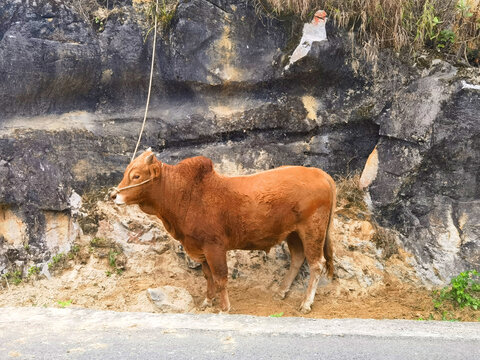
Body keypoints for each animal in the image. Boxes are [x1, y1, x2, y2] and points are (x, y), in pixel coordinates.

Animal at [110, 149, 336, 312]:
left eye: (136, 175)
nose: (113, 195)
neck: (186, 195)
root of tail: (320, 174)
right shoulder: (200, 248)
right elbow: (208, 276)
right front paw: (207, 301)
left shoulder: (214, 247)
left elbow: (220, 278)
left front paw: (224, 307)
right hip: (293, 233)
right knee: (298, 258)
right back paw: (281, 291)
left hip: (312, 230)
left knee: (317, 264)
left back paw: (306, 303)